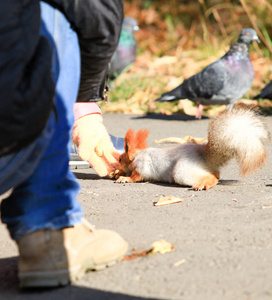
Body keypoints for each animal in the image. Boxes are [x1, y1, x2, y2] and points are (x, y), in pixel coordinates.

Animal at [115, 105, 270, 190]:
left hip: (182, 169)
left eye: (121, 159)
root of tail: (204, 156)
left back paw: (203, 185)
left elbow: (137, 176)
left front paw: (125, 178)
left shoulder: (142, 165)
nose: (117, 163)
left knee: (212, 177)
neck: (137, 155)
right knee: (216, 174)